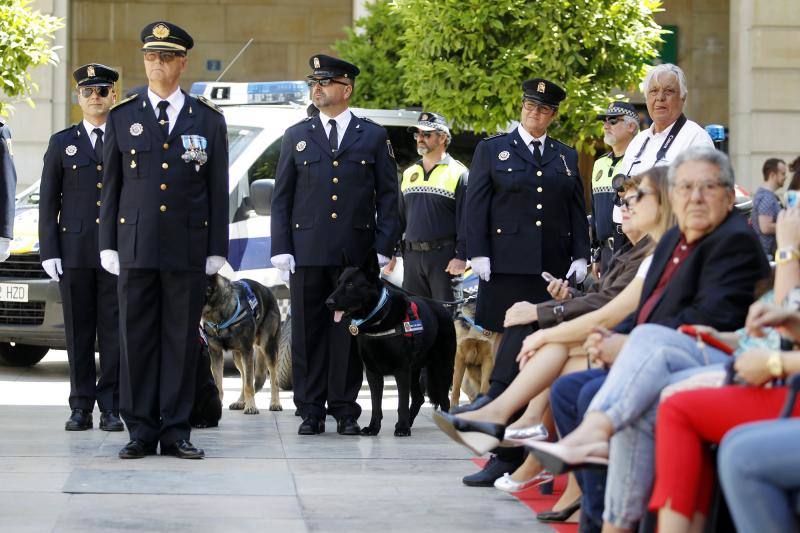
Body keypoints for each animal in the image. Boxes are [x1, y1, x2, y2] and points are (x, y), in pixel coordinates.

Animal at [202, 276, 282, 414]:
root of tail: (268, 290)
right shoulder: (216, 354)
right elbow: (219, 384)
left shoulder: (247, 351)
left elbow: (249, 385)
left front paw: (251, 406)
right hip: (238, 357)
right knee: (244, 377)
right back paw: (240, 402)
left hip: (268, 348)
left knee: (273, 378)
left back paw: (275, 403)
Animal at [322, 251, 454, 434]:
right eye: (339, 283)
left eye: (350, 284)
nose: (328, 303)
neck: (379, 319)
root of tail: (443, 308)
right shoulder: (373, 373)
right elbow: (376, 404)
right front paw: (374, 427)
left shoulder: (401, 371)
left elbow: (401, 403)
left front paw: (403, 428)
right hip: (415, 370)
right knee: (419, 398)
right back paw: (408, 422)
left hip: (442, 368)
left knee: (444, 399)